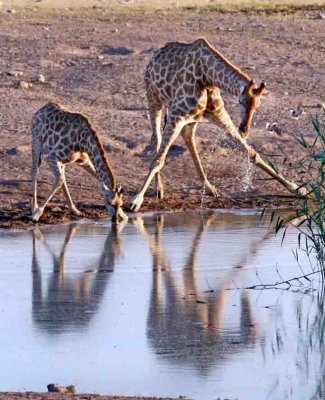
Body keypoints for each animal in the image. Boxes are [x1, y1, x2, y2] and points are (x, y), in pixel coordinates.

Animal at [129, 38, 266, 212]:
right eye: (241, 101)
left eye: (258, 105)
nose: (244, 129)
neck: (207, 76)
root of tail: (155, 55)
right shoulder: (177, 115)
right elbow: (158, 160)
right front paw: (136, 200)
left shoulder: (218, 115)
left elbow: (252, 154)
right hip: (154, 98)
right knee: (157, 139)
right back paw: (159, 189)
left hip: (191, 116)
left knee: (188, 138)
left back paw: (209, 187)